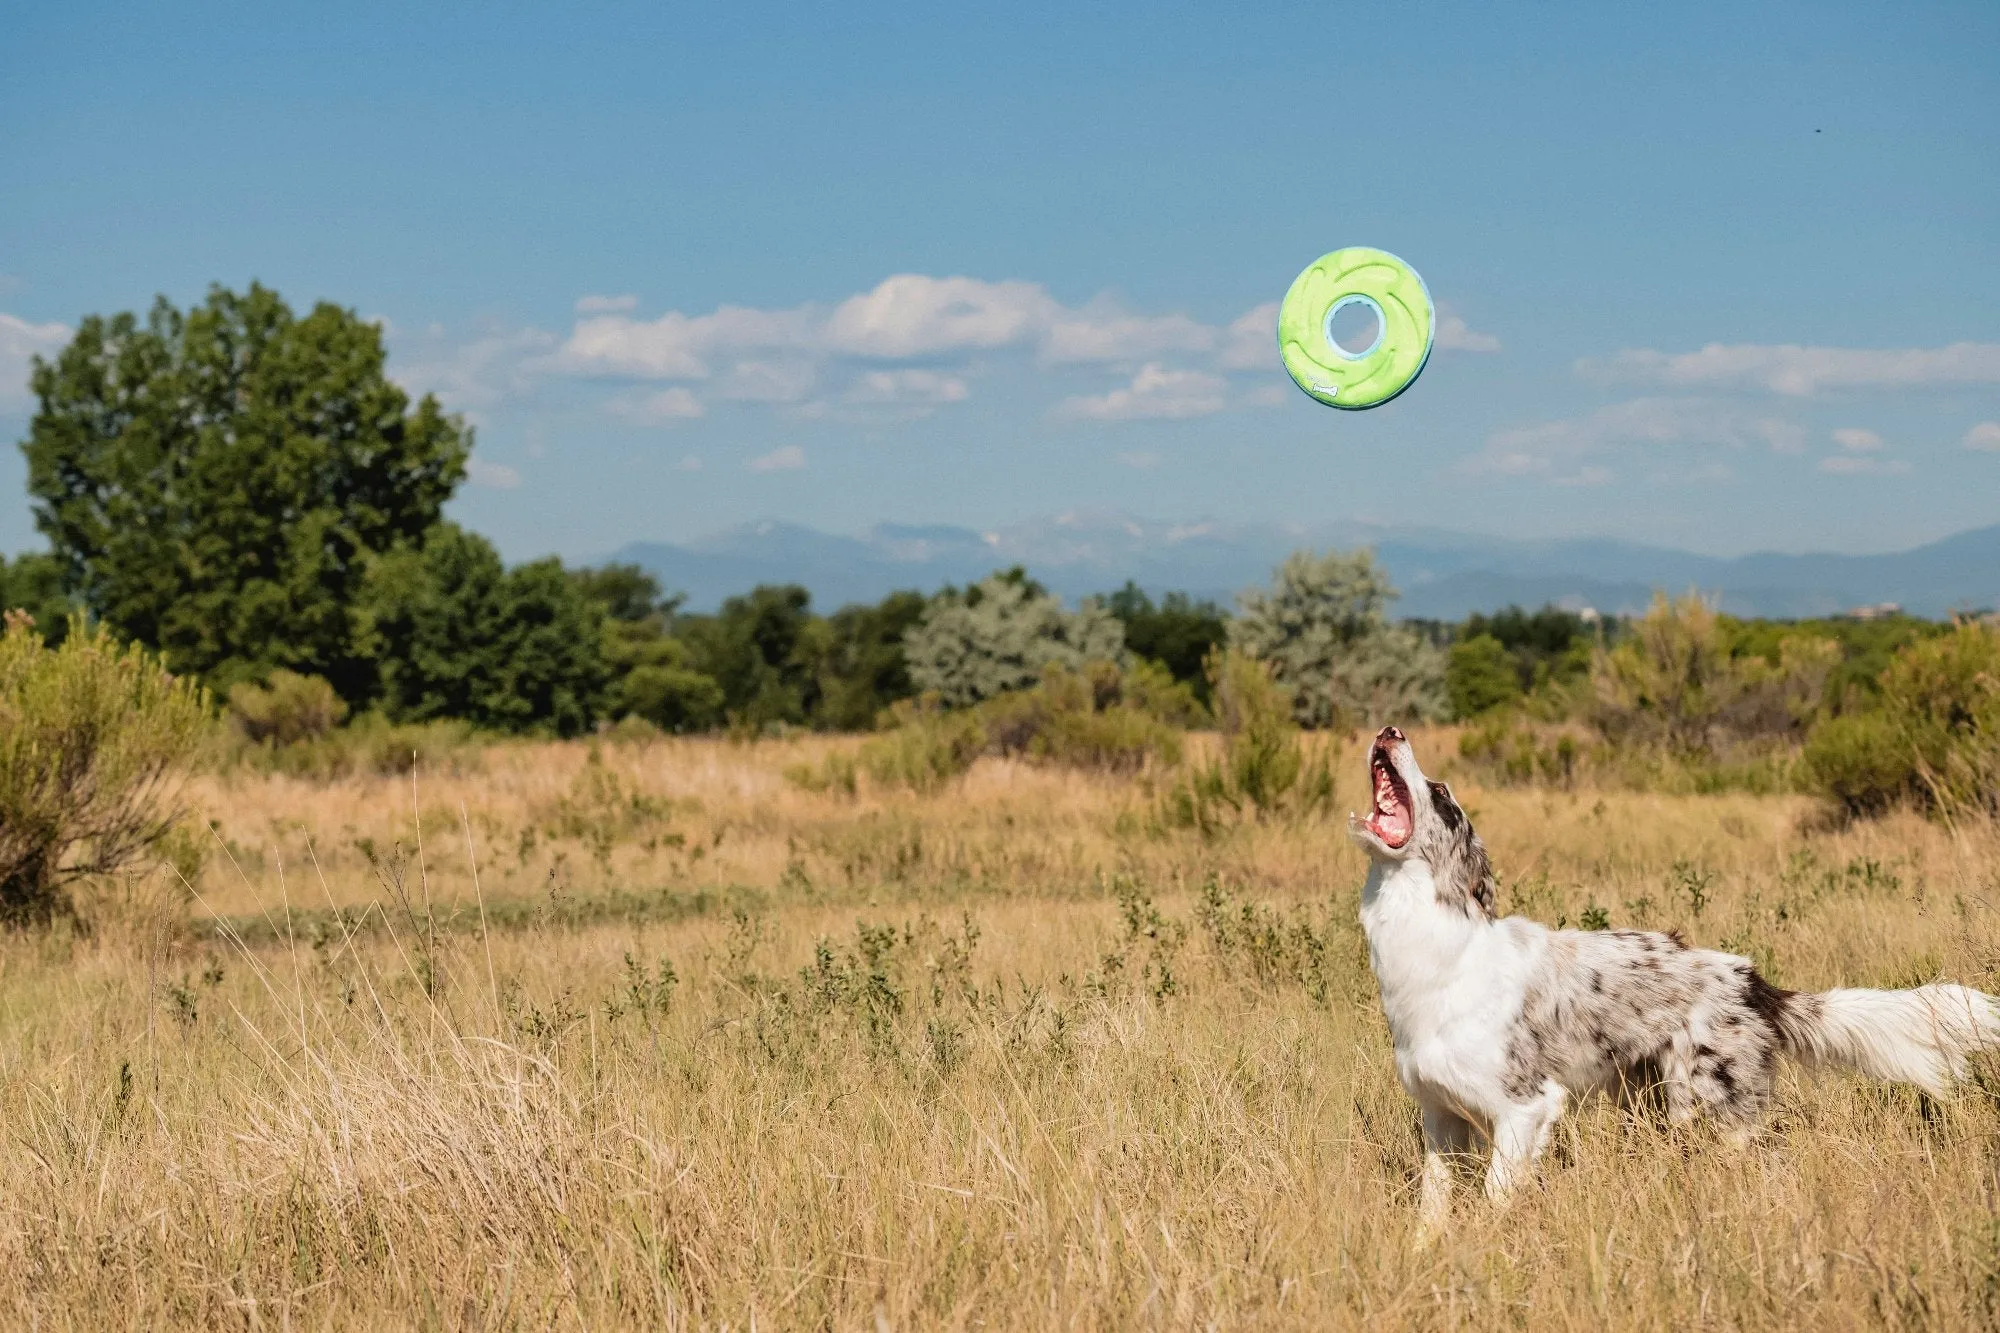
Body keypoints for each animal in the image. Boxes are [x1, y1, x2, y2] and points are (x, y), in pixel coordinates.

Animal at [1344, 720, 2000, 1232]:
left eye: (1440, 793)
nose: (1391, 729)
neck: (1435, 948)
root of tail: (1752, 983)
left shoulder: (1526, 1108)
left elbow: (1495, 1202)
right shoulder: (1442, 1120)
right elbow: (1431, 1215)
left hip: (1716, 1112)